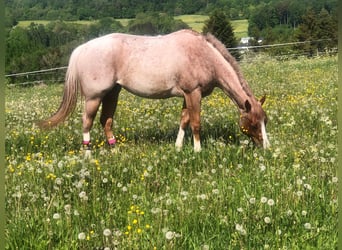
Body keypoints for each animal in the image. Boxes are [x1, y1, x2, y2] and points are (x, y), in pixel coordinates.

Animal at [38, 28, 270, 151]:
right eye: (252, 123)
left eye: (264, 121)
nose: (266, 147)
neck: (204, 55)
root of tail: (82, 48)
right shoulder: (193, 93)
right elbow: (195, 123)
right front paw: (197, 149)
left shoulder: (187, 96)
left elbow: (184, 120)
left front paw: (178, 147)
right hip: (94, 97)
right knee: (87, 122)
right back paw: (88, 154)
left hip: (112, 93)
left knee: (106, 121)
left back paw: (114, 150)